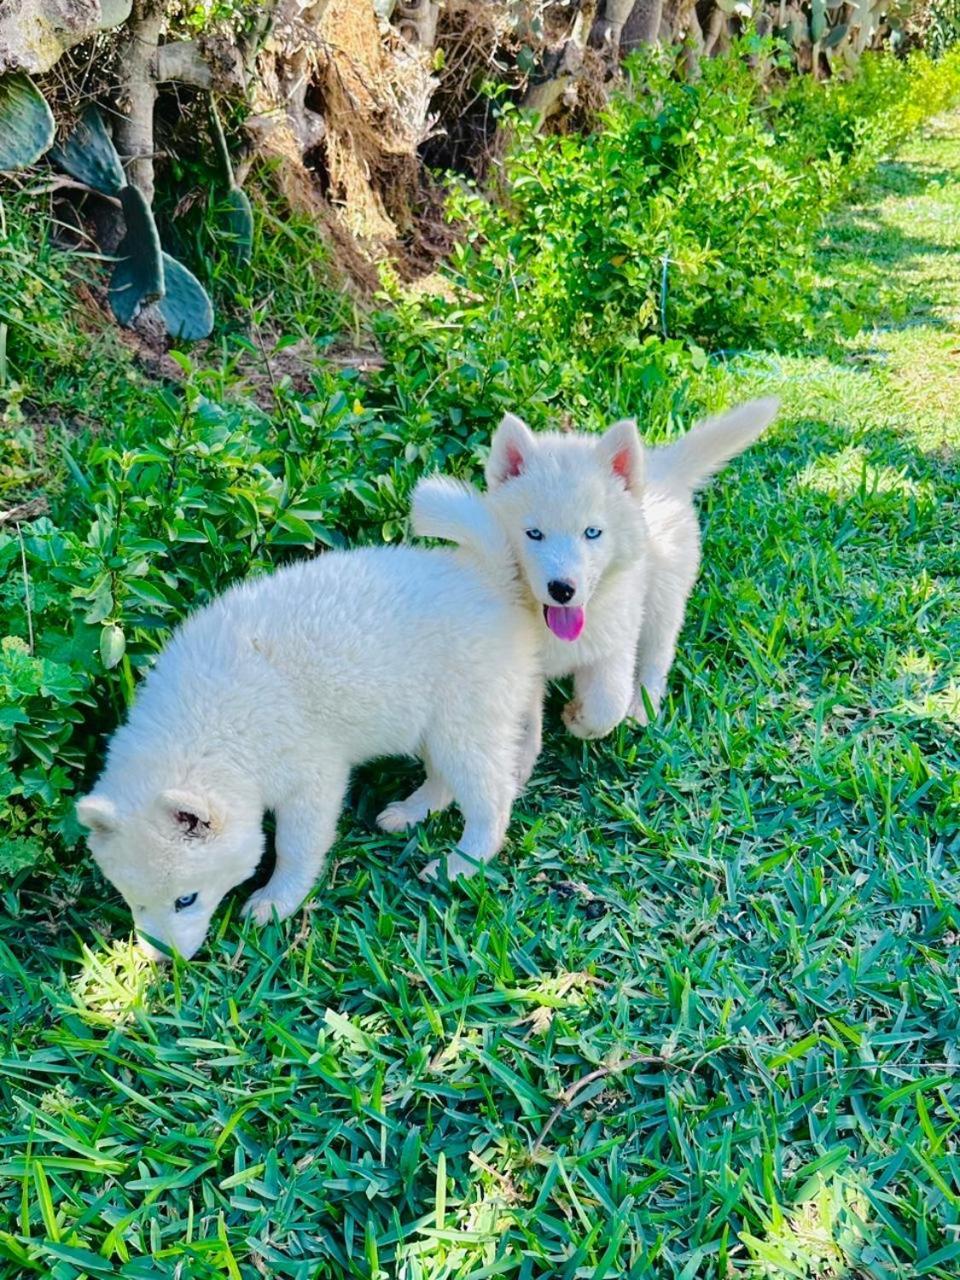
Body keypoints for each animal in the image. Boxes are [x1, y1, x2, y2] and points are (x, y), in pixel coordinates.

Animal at [77, 542, 542, 962]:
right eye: (133, 900)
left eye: (186, 900)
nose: (162, 961)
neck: (208, 723)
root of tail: (493, 584)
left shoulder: (310, 772)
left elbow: (295, 845)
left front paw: (274, 901)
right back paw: (411, 812)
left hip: (464, 718)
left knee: (489, 796)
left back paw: (462, 862)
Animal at [414, 394, 783, 747]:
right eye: (534, 533)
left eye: (592, 532)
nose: (562, 589)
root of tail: (661, 468)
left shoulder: (615, 641)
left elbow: (609, 702)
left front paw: (580, 720)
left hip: (664, 595)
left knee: (657, 654)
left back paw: (642, 706)